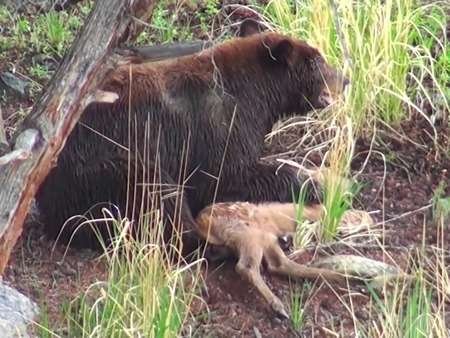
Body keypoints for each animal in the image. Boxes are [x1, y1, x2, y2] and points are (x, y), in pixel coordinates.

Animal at [36, 20, 348, 254]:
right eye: (317, 62)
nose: (345, 78)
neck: (257, 96)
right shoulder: (216, 127)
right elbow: (229, 175)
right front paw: (315, 186)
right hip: (109, 164)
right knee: (157, 198)